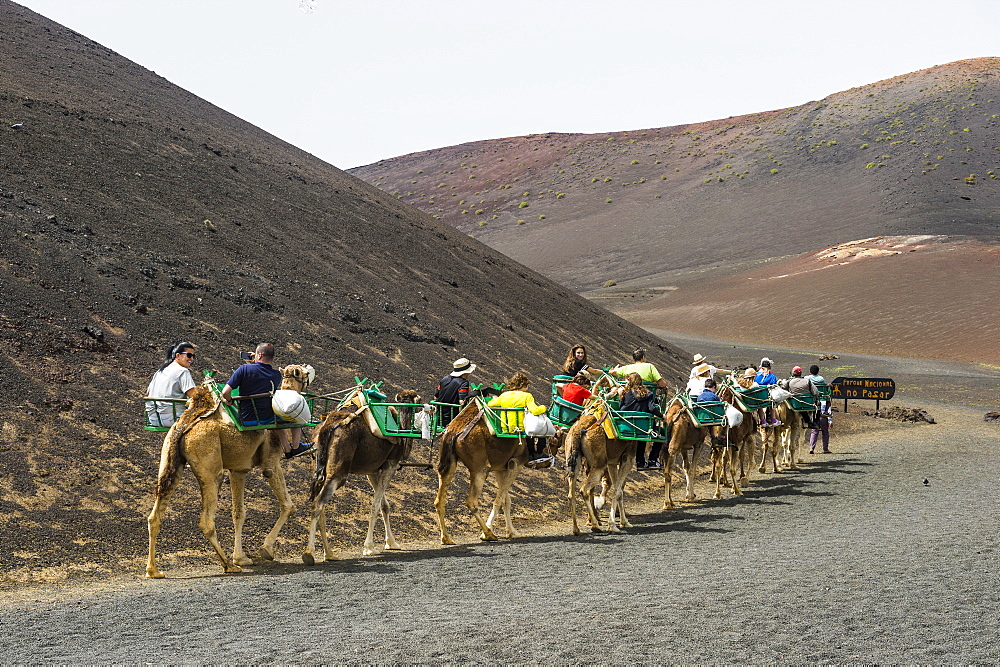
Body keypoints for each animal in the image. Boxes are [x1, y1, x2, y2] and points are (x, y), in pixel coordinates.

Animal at [146, 366, 312, 580]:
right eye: (301, 372)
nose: (308, 373)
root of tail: (183, 426)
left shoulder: (239, 469)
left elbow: (238, 512)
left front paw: (241, 557)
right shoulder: (271, 462)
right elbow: (288, 505)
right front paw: (265, 550)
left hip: (169, 462)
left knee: (154, 516)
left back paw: (153, 570)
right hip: (211, 469)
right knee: (206, 521)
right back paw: (228, 565)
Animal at [298, 388, 420, 560]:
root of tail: (327, 426)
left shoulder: (372, 470)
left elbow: (384, 505)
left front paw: (391, 543)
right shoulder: (391, 464)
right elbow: (375, 505)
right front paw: (369, 547)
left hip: (317, 464)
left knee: (318, 502)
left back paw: (329, 553)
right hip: (338, 473)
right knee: (318, 503)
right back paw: (309, 553)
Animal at [434, 400, 556, 544]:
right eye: (554, 442)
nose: (549, 461)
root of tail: (455, 431)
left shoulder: (501, 468)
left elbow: (506, 500)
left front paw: (512, 532)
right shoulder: (516, 464)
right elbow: (499, 501)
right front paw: (487, 532)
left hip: (449, 463)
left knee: (439, 500)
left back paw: (446, 538)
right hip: (479, 468)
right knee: (471, 501)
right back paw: (489, 534)